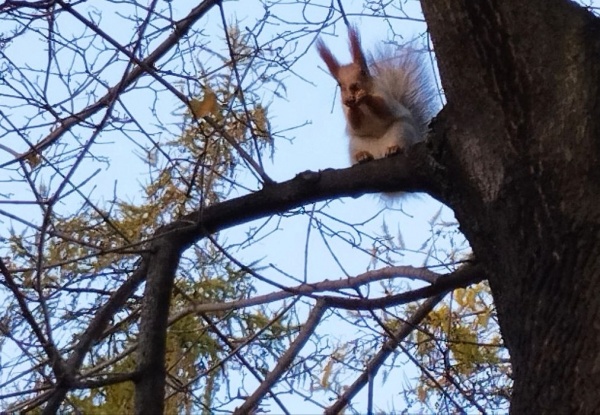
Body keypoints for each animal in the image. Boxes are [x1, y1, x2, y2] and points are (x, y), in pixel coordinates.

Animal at [318, 25, 436, 166]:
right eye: (339, 84)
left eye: (363, 72)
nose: (352, 86)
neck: (361, 104)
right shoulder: (343, 106)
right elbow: (354, 122)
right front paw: (352, 104)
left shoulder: (383, 93)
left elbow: (383, 109)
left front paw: (366, 95)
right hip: (357, 143)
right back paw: (362, 156)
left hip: (401, 130)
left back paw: (394, 148)